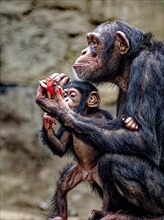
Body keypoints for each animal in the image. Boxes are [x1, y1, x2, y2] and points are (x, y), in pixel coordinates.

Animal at [36, 19, 164, 219]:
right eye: (88, 41)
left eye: (94, 42)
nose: (84, 51)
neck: (128, 64)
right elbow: (61, 146)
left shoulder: (148, 68)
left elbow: (142, 137)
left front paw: (57, 106)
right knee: (65, 182)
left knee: (114, 161)